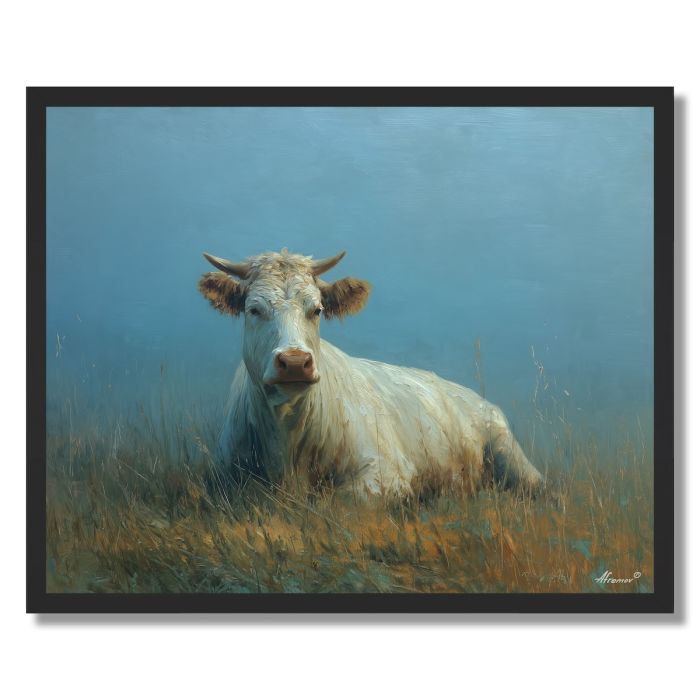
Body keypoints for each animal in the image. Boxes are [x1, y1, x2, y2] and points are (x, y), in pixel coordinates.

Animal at [198, 249, 544, 498]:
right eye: (254, 309)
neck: (285, 437)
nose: (295, 362)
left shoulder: (386, 472)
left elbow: (344, 500)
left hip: (512, 457)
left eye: (317, 309)